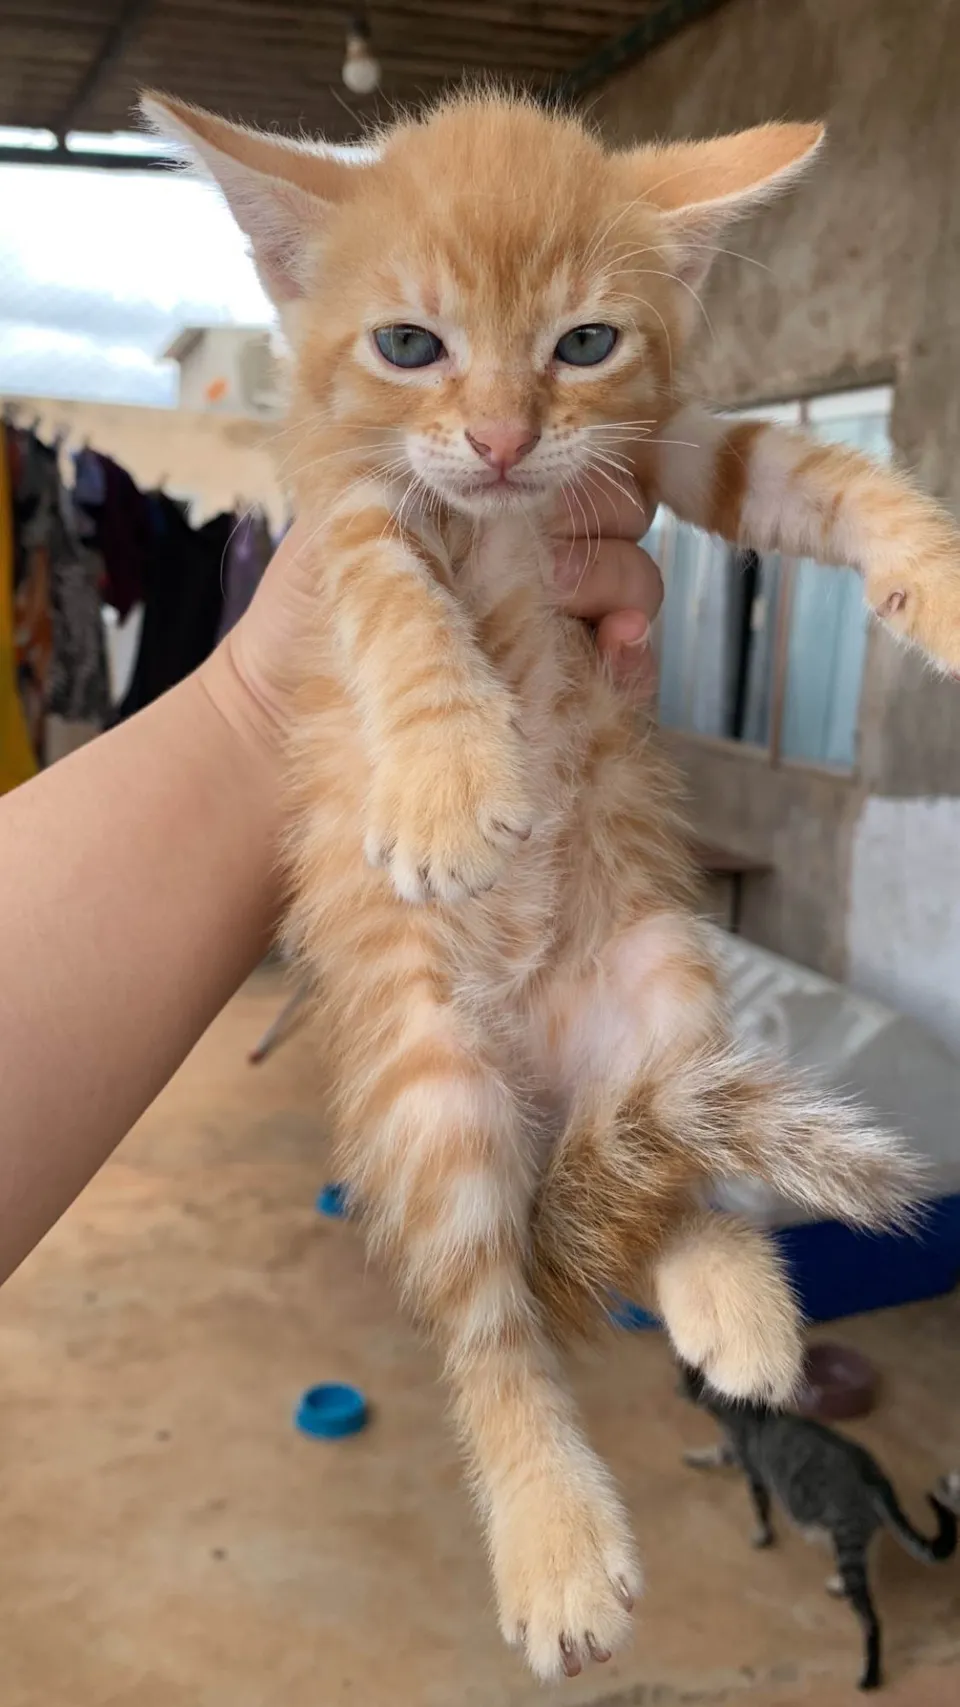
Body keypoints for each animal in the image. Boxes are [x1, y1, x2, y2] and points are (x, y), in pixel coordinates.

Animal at [678, 1361, 958, 1690]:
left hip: (846, 1538)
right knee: (870, 1562)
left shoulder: (752, 1471)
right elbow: (716, 1453)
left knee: (871, 1618)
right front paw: (696, 1456)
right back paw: (839, 1583)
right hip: (855, 1535)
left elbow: (759, 1508)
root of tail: (875, 1478)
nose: (678, 1388)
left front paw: (762, 1535)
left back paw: (870, 1674)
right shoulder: (735, 1452)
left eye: (685, 1378)